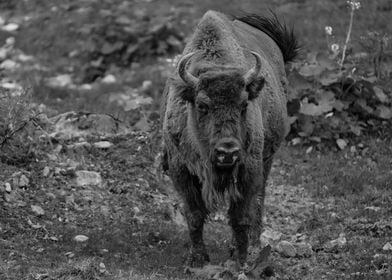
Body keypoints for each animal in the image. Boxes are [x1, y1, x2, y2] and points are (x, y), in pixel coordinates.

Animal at [161, 10, 298, 268]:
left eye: (244, 105)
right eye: (202, 105)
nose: (227, 151)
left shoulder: (248, 169)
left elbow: (240, 216)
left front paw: (239, 260)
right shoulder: (181, 170)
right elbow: (194, 215)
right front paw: (197, 259)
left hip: (267, 159)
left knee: (258, 202)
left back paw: (253, 245)